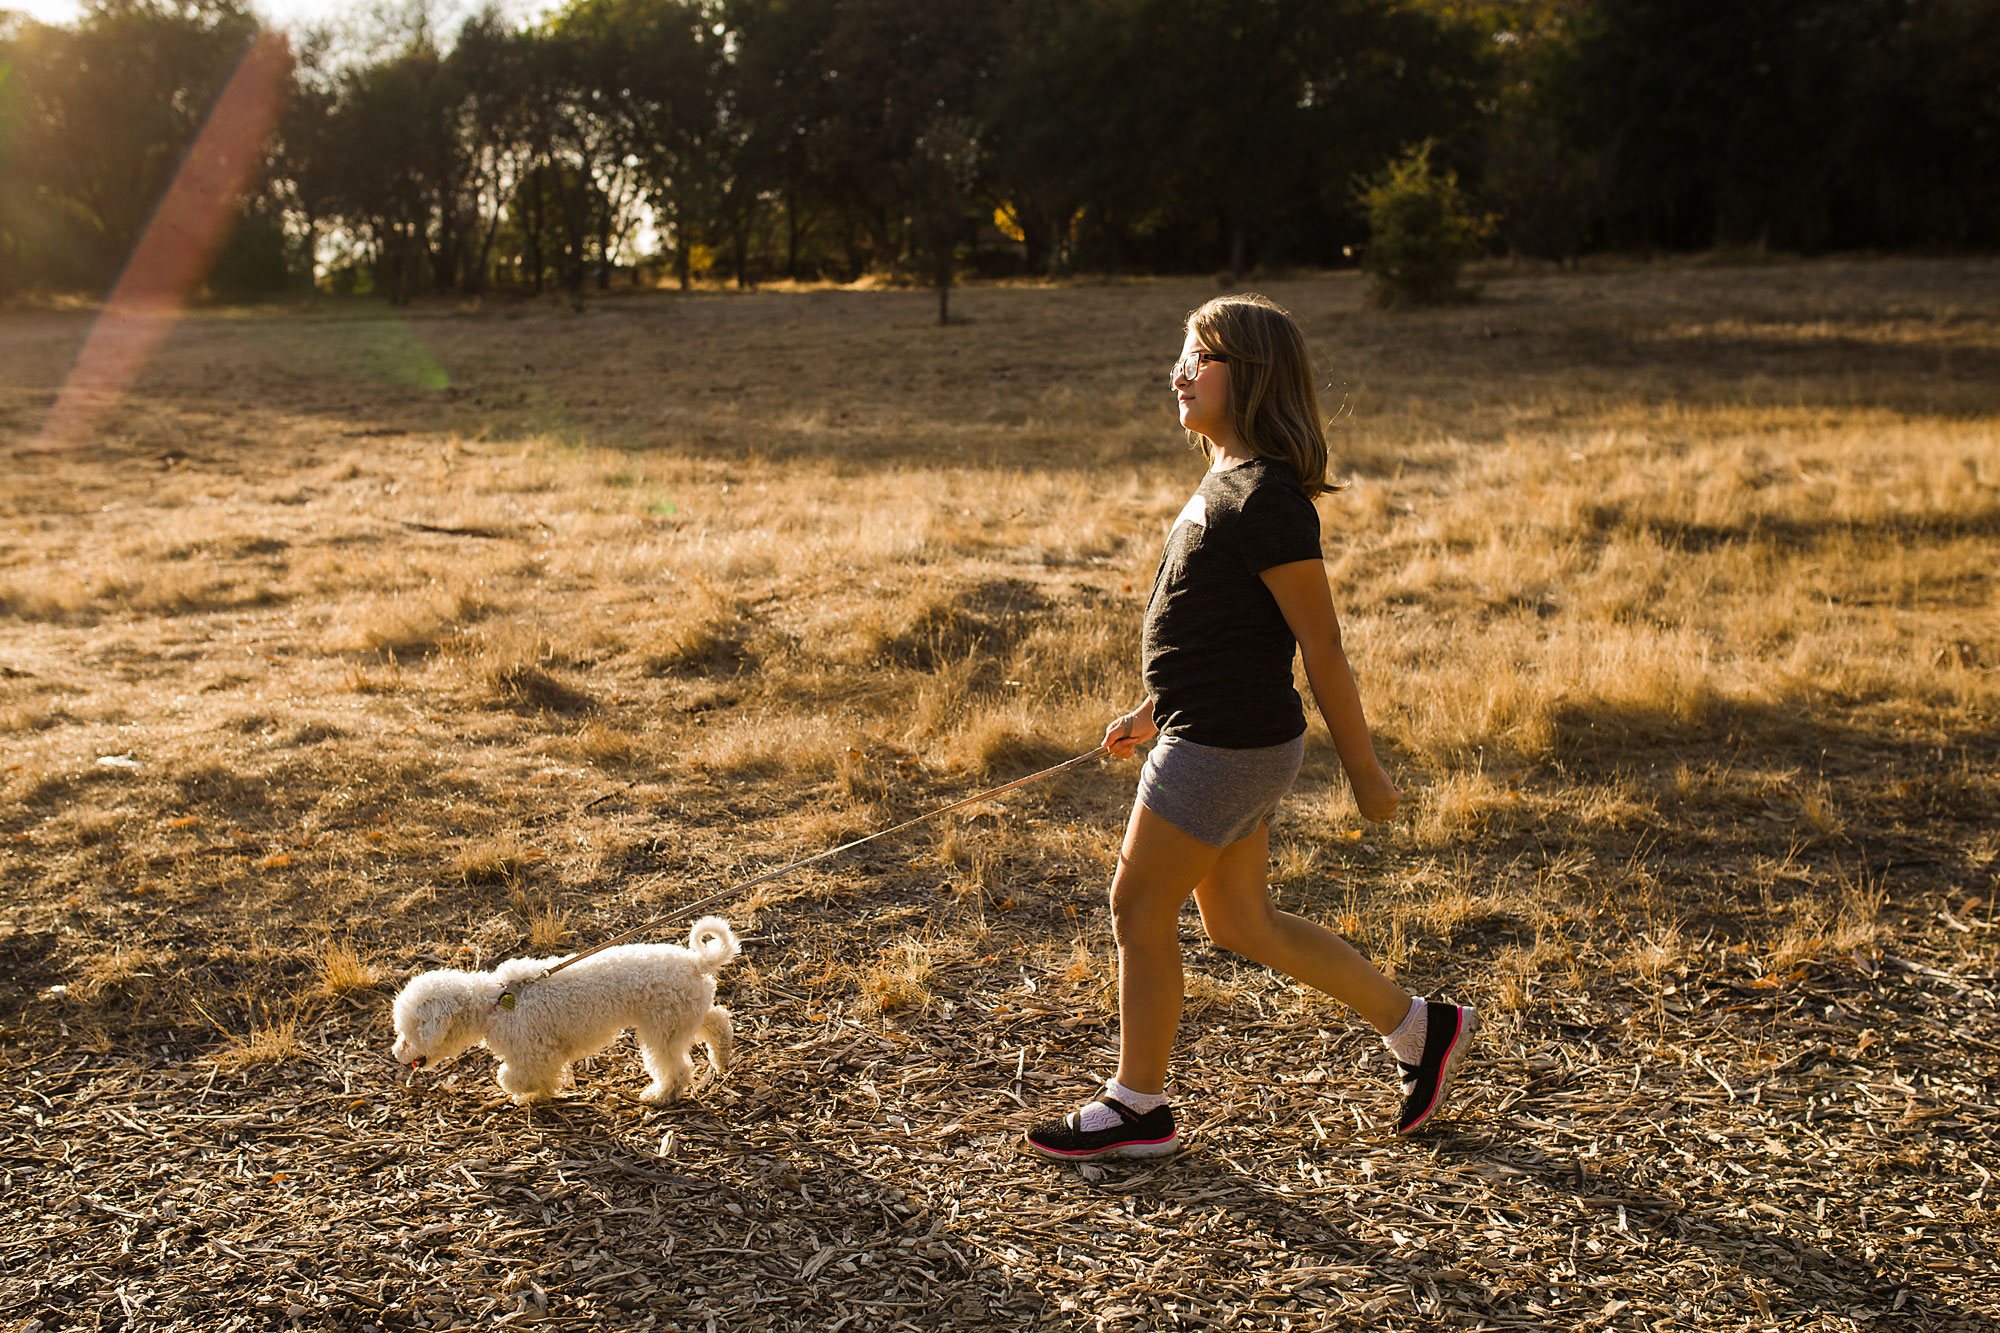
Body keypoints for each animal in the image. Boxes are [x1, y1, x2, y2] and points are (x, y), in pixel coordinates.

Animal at [386, 912, 740, 1096]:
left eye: (406, 1033)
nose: (395, 1053)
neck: (492, 1005)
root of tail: (696, 962)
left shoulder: (535, 1052)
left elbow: (509, 1077)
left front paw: (526, 1092)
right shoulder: (542, 1054)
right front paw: (540, 1095)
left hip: (662, 1031)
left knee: (676, 1069)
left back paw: (660, 1096)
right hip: (684, 1015)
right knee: (718, 1020)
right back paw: (722, 1057)